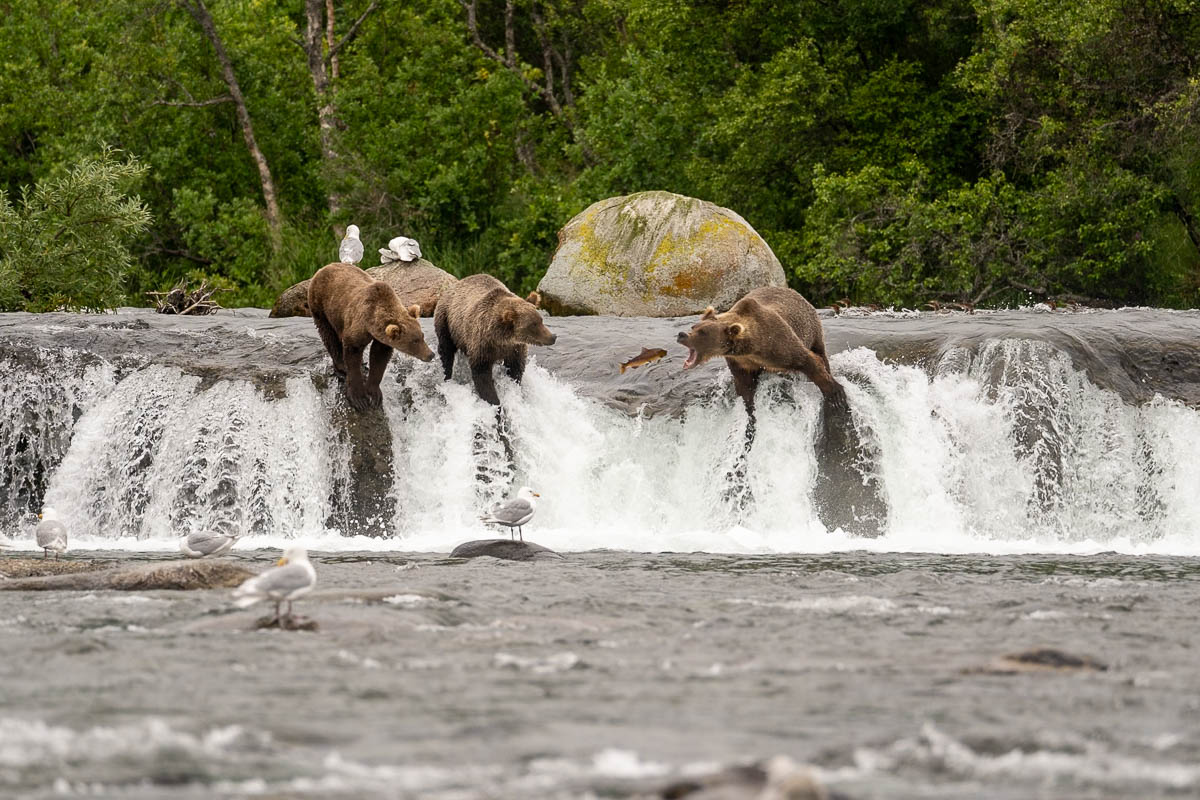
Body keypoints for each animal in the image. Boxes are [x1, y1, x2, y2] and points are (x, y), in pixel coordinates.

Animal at [309, 263, 436, 412]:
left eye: (422, 336)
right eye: (414, 341)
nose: (430, 354)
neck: (371, 322)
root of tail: (324, 268)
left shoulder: (382, 339)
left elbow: (379, 358)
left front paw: (374, 394)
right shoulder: (358, 325)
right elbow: (352, 353)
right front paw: (359, 398)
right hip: (321, 306)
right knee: (328, 335)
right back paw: (341, 367)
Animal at [436, 273, 556, 407]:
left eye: (541, 320)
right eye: (533, 324)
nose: (552, 337)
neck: (500, 338)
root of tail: (455, 284)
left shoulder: (514, 349)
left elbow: (516, 370)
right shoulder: (482, 346)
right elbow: (482, 376)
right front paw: (496, 404)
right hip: (446, 320)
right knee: (446, 350)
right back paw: (447, 376)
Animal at [676, 286, 844, 412]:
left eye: (703, 332)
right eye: (694, 326)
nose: (681, 335)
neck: (753, 347)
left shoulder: (777, 343)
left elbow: (808, 360)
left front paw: (836, 395)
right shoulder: (740, 361)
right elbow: (744, 384)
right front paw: (748, 405)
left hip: (812, 328)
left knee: (819, 351)